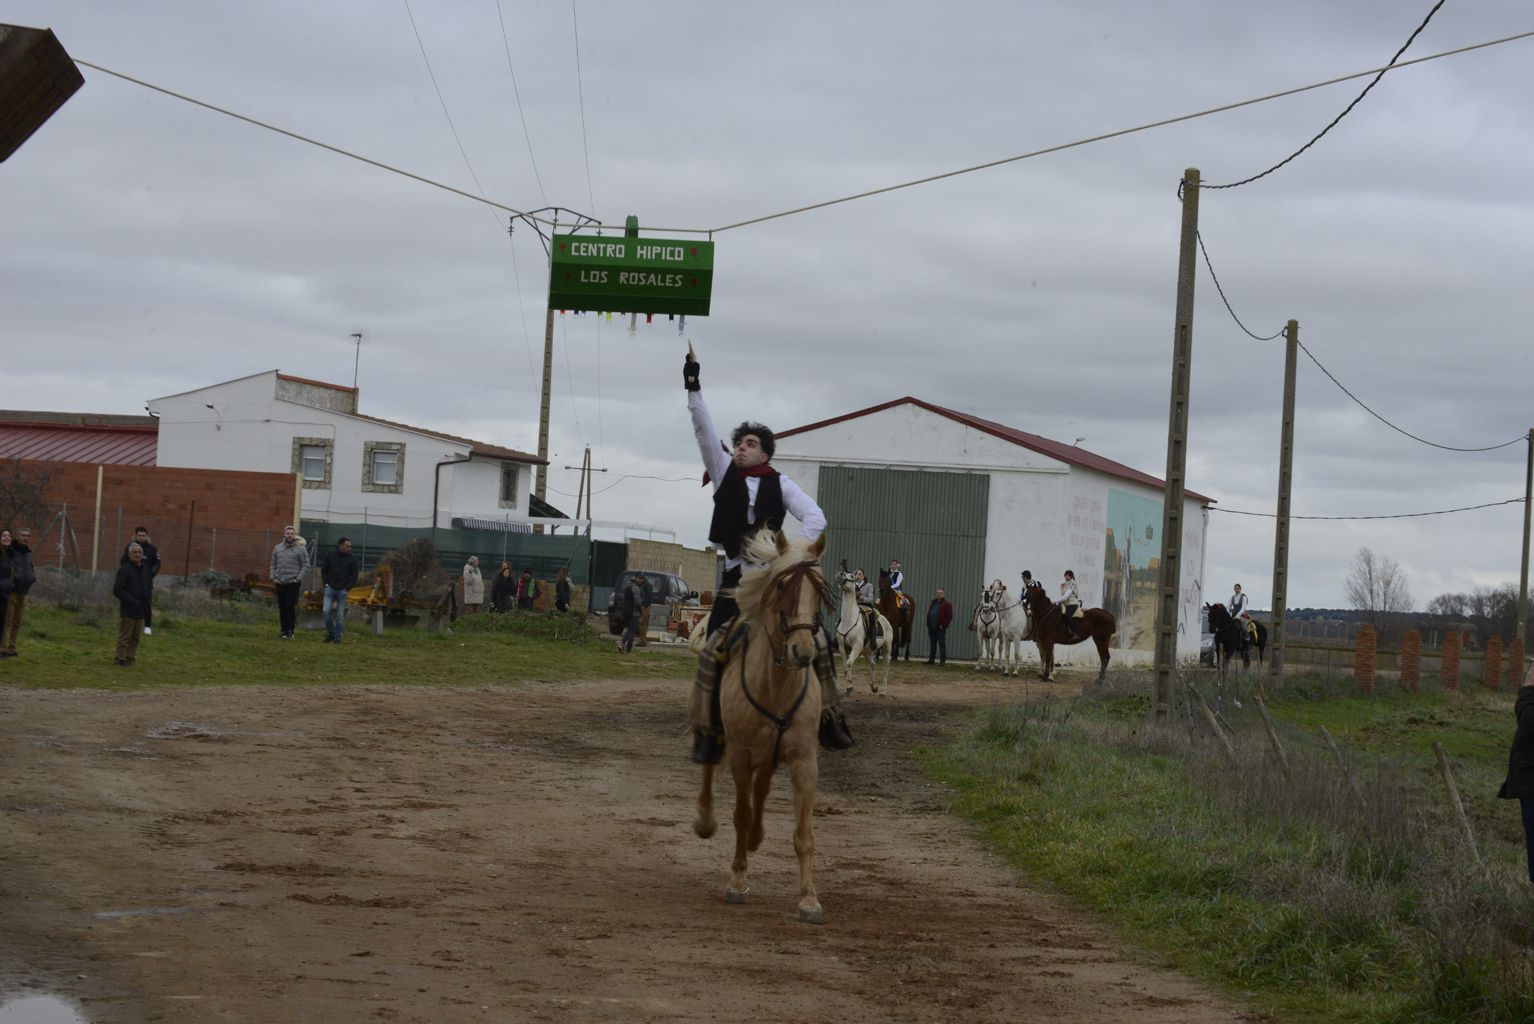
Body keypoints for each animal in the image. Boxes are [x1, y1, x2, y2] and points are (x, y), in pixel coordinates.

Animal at [699, 533, 834, 925]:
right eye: (781, 586)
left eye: (819, 590)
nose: (802, 651)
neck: (775, 686)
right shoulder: (741, 755)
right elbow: (741, 816)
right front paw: (737, 881)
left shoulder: (804, 761)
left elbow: (803, 834)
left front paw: (808, 900)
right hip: (718, 736)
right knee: (709, 770)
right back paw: (705, 821)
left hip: (771, 756)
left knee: (762, 790)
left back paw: (757, 838)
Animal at [834, 567, 895, 695]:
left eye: (851, 576)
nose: (840, 574)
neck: (849, 620)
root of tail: (885, 620)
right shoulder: (842, 647)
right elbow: (845, 667)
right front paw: (849, 686)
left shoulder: (856, 646)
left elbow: (849, 663)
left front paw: (850, 684)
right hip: (867, 651)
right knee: (873, 664)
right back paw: (873, 686)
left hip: (887, 648)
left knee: (885, 670)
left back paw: (882, 692)